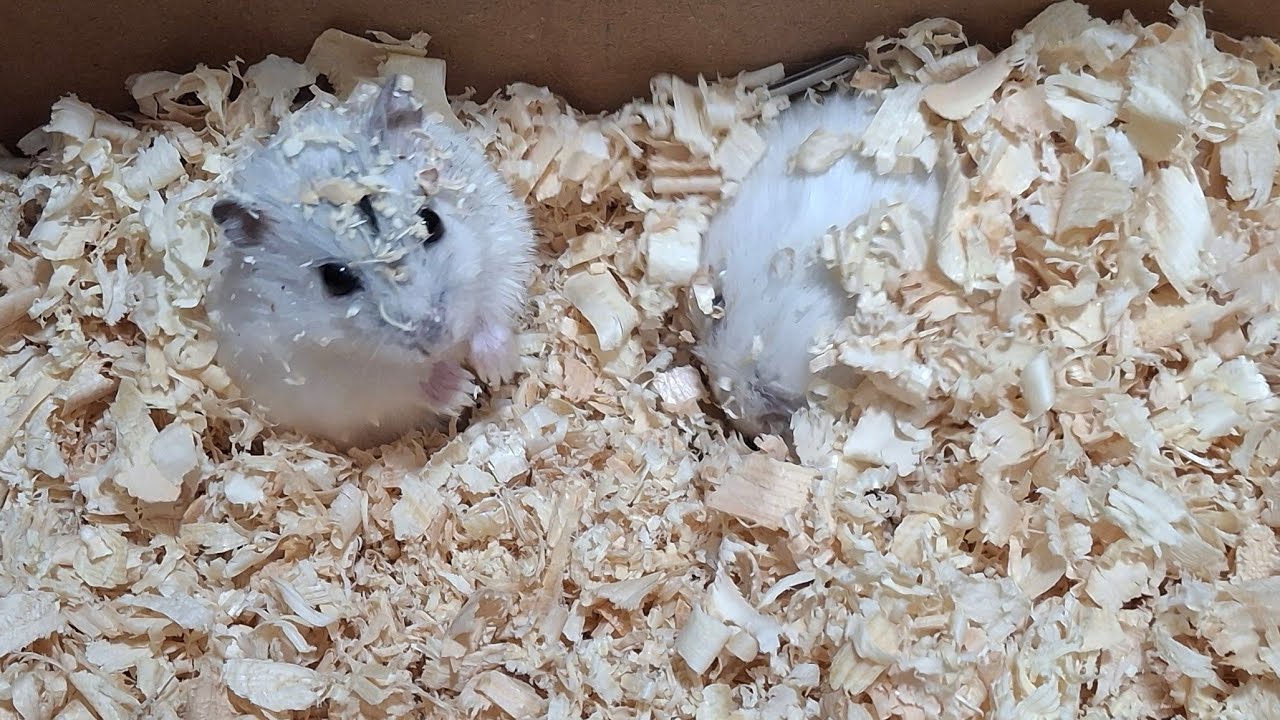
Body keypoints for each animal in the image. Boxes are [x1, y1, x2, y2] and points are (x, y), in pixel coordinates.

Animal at [206, 75, 536, 448]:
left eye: (430, 222)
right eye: (336, 278)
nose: (438, 338)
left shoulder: (502, 243)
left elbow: (492, 311)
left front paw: (497, 372)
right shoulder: (331, 383)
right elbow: (399, 385)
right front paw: (463, 390)